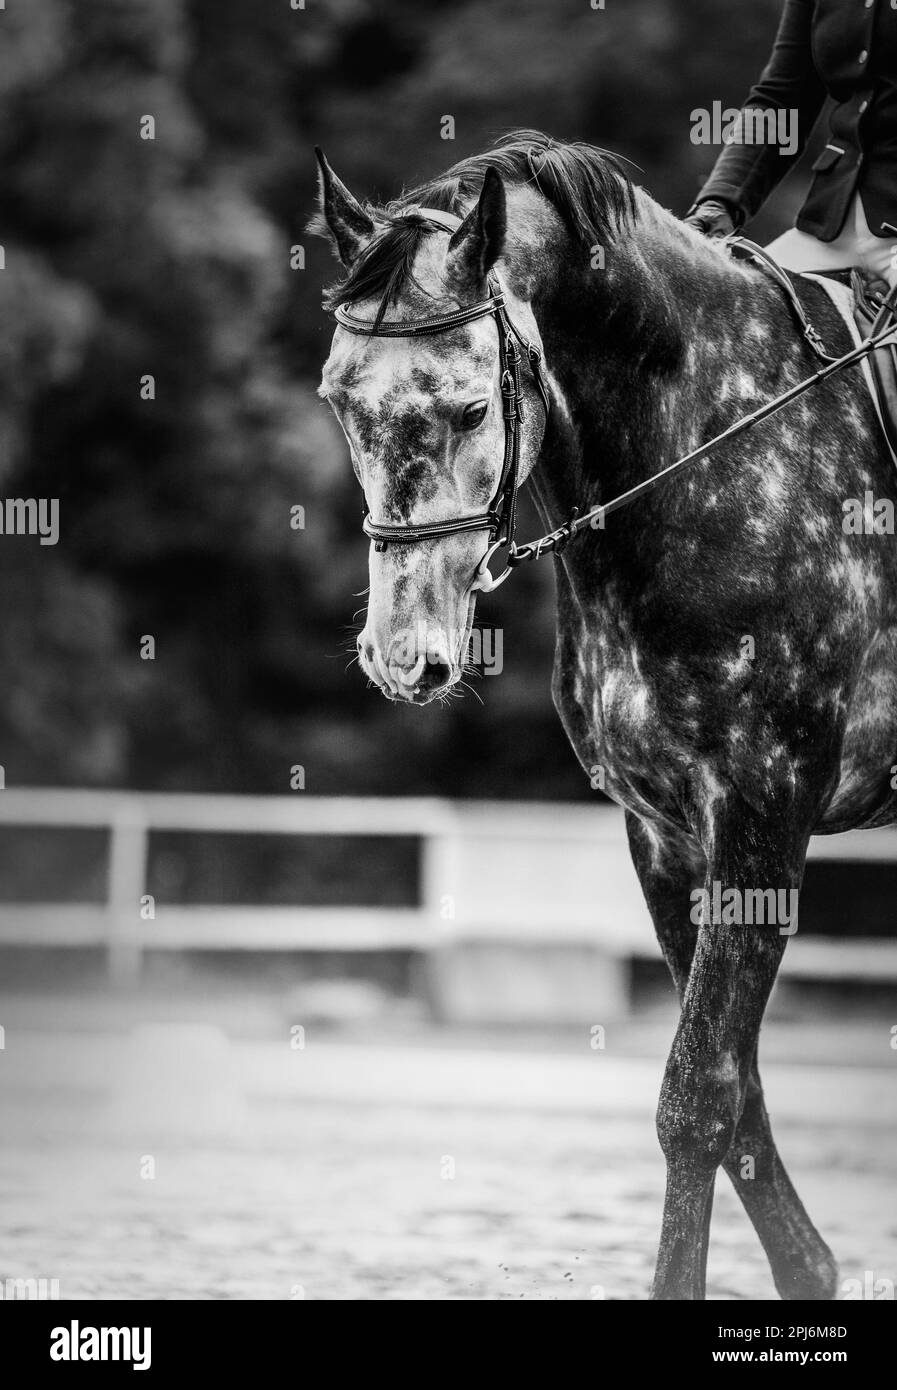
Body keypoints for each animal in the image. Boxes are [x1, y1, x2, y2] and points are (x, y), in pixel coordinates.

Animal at [312, 129, 897, 1300]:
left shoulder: (763, 814)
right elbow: (737, 1094)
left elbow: (698, 1098)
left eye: (471, 408)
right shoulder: (665, 831)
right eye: (338, 400)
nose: (404, 658)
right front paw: (811, 1271)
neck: (709, 453)